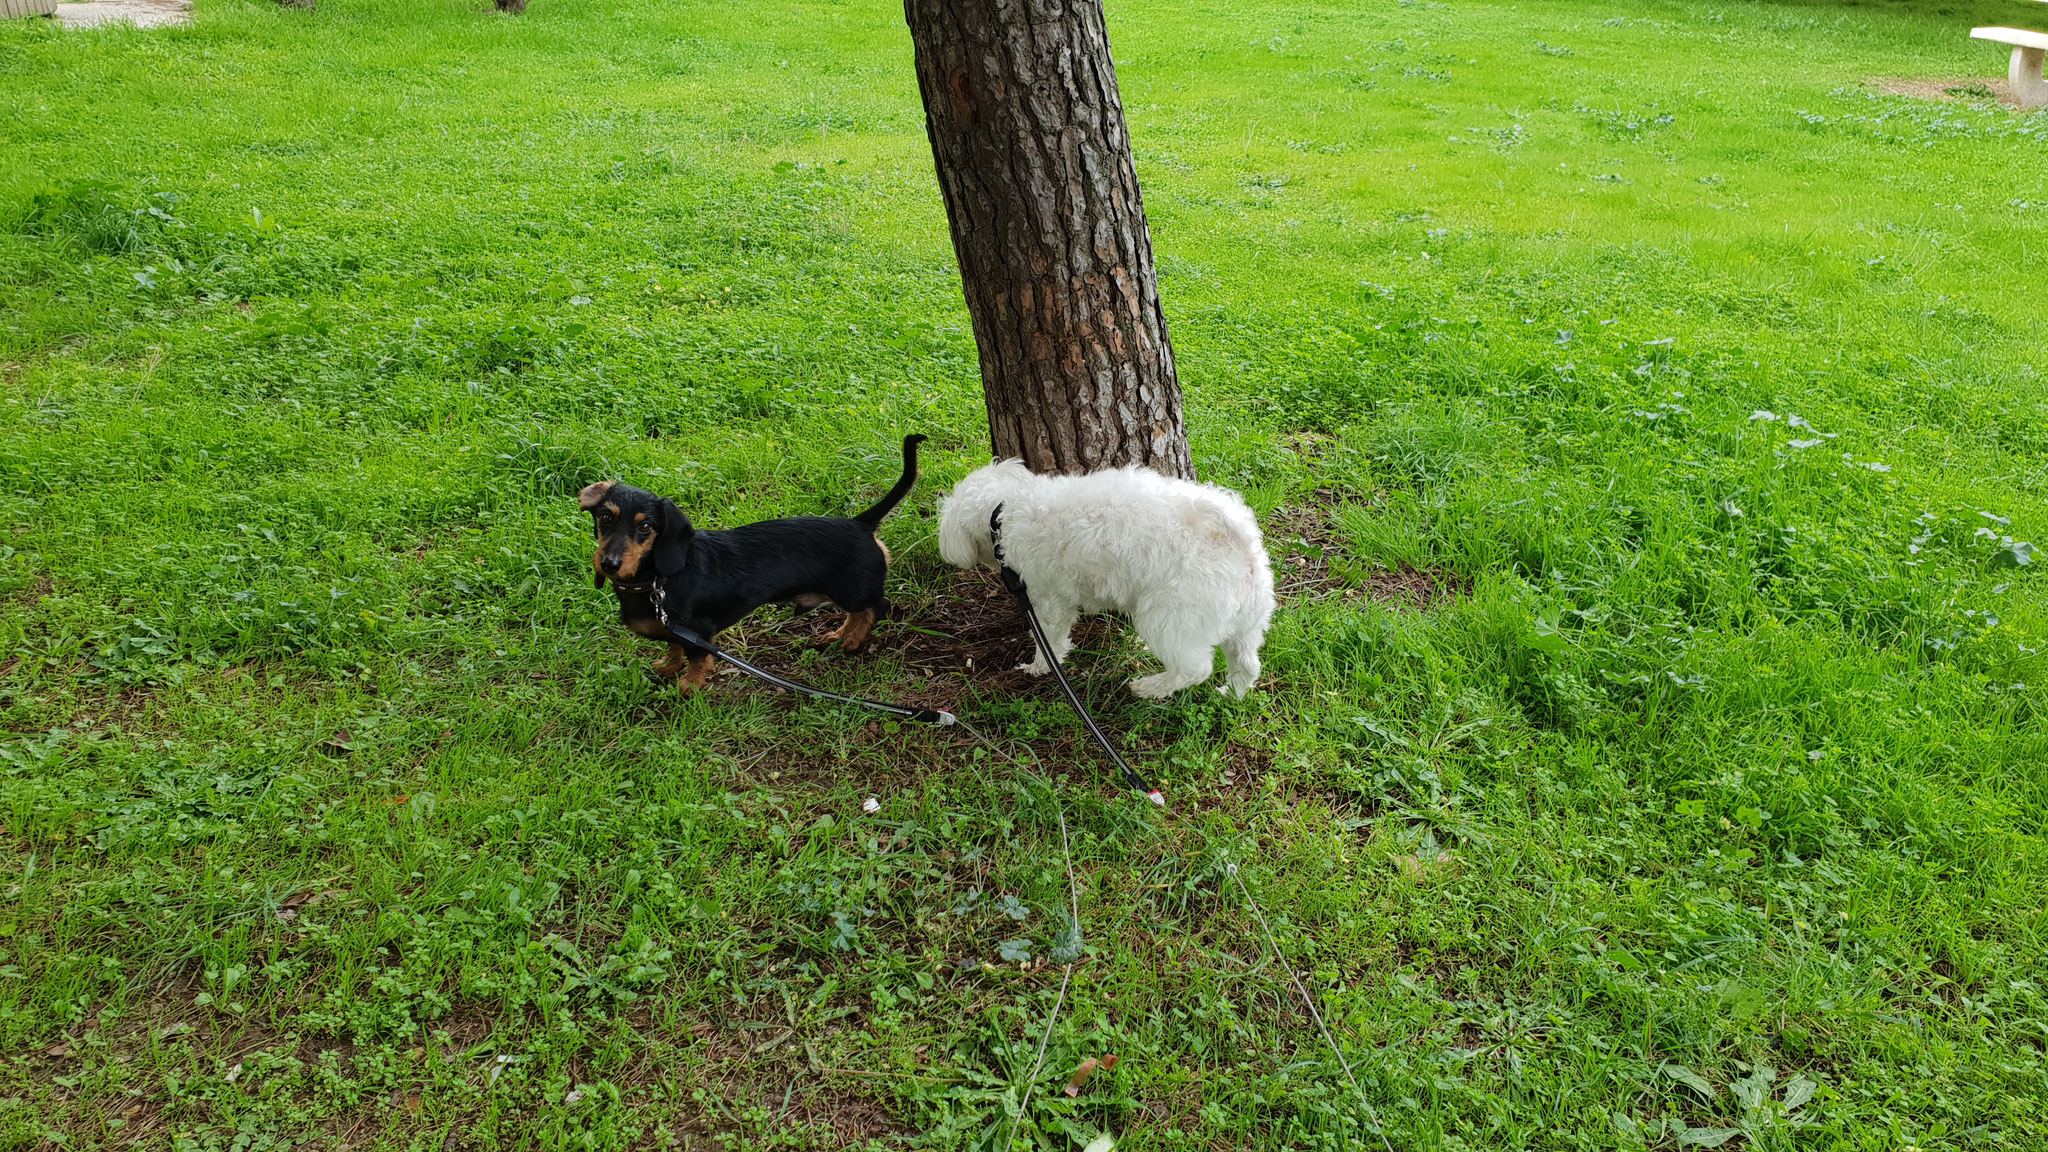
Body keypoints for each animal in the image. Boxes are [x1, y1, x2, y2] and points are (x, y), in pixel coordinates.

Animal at [937, 459, 1261, 696]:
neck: (1007, 506)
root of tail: (1236, 540)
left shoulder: (1049, 601)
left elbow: (1050, 641)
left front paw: (1038, 668)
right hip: (1247, 624)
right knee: (1248, 664)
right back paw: (1231, 694)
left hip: (1169, 618)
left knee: (1194, 669)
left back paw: (1149, 688)